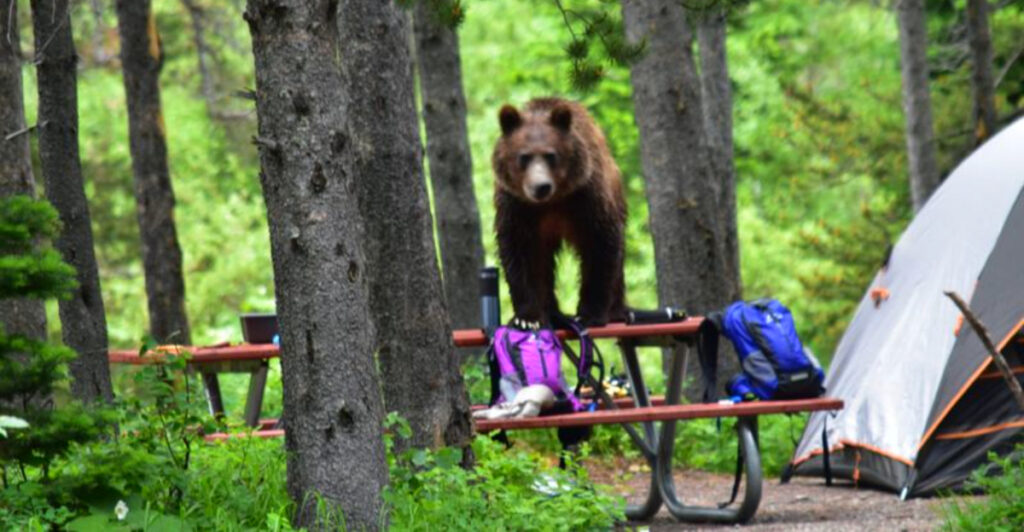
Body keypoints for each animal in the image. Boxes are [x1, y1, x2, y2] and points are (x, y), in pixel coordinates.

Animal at [491, 97, 626, 328]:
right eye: (524, 157)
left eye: (550, 155)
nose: (541, 186)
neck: (553, 201)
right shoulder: (517, 206)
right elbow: (519, 253)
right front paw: (528, 317)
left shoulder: (587, 196)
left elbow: (600, 243)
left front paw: (590, 313)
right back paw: (552, 313)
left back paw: (618, 310)